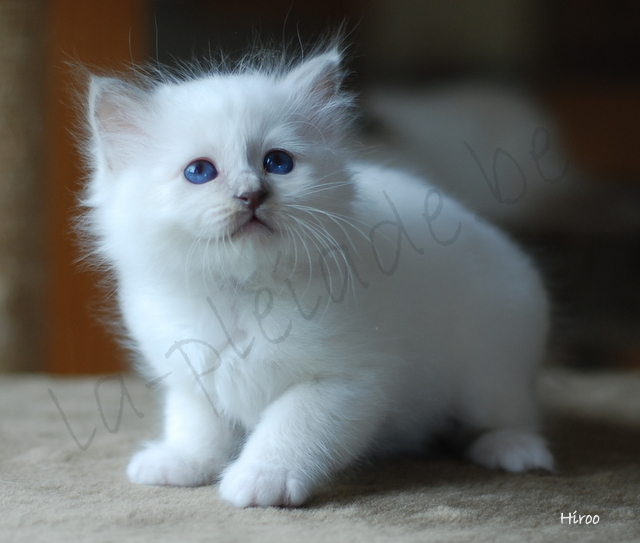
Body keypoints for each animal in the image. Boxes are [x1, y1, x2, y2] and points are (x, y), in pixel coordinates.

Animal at [84, 49, 556, 508]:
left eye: (277, 163)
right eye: (199, 172)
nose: (251, 194)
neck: (240, 292)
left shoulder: (343, 380)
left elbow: (292, 428)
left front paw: (261, 479)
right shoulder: (192, 377)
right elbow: (198, 426)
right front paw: (183, 462)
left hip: (489, 369)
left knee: (513, 414)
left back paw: (514, 450)